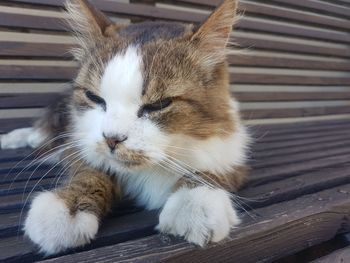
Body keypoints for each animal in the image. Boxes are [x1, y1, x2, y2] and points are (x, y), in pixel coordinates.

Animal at [0, 0, 249, 256]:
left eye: (158, 104)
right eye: (94, 97)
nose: (112, 139)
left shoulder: (232, 152)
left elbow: (208, 173)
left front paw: (194, 203)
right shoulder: (79, 143)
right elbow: (89, 172)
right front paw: (66, 207)